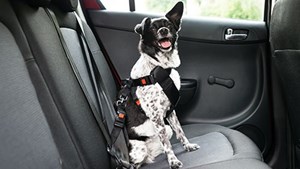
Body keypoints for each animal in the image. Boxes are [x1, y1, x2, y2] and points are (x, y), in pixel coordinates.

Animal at [128, 1, 199, 169]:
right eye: (153, 28)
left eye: (169, 25)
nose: (164, 30)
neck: (160, 67)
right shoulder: (156, 116)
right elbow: (167, 144)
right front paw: (173, 161)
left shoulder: (170, 111)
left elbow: (180, 132)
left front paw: (187, 146)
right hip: (139, 147)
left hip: (166, 130)